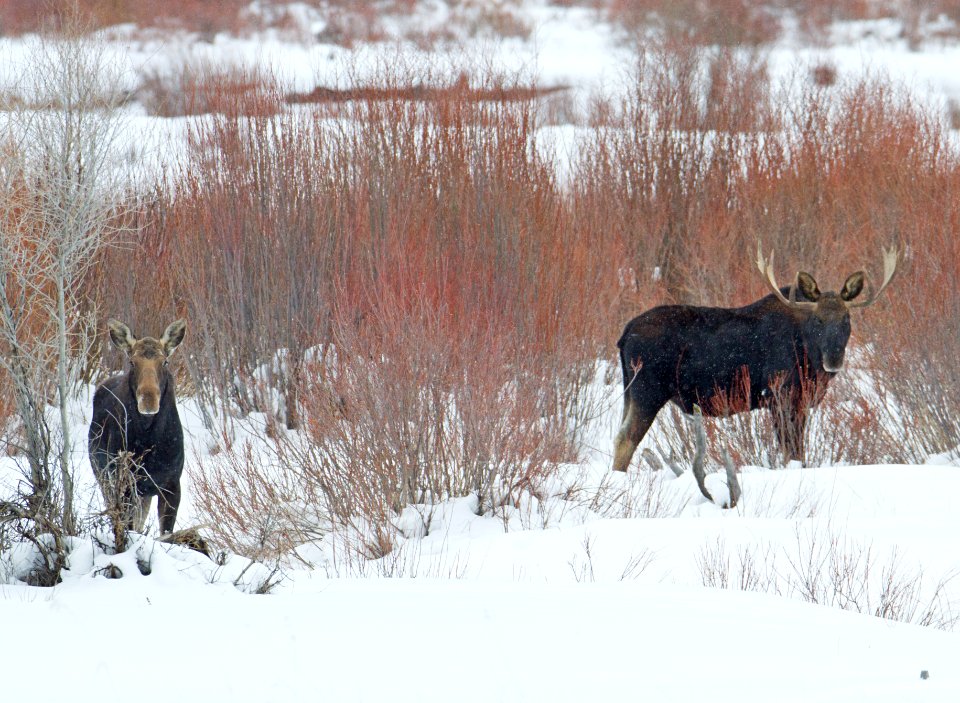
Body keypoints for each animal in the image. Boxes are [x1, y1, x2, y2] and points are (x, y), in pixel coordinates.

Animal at [89, 320, 188, 532]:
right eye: (132, 362)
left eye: (165, 362)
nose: (148, 401)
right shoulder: (126, 486)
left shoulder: (171, 485)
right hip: (104, 478)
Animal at [612, 245, 896, 470]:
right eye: (818, 319)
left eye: (846, 319)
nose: (834, 358)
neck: (809, 359)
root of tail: (623, 335)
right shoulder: (780, 397)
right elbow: (792, 453)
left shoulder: (799, 403)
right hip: (647, 391)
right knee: (625, 440)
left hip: (632, 393)